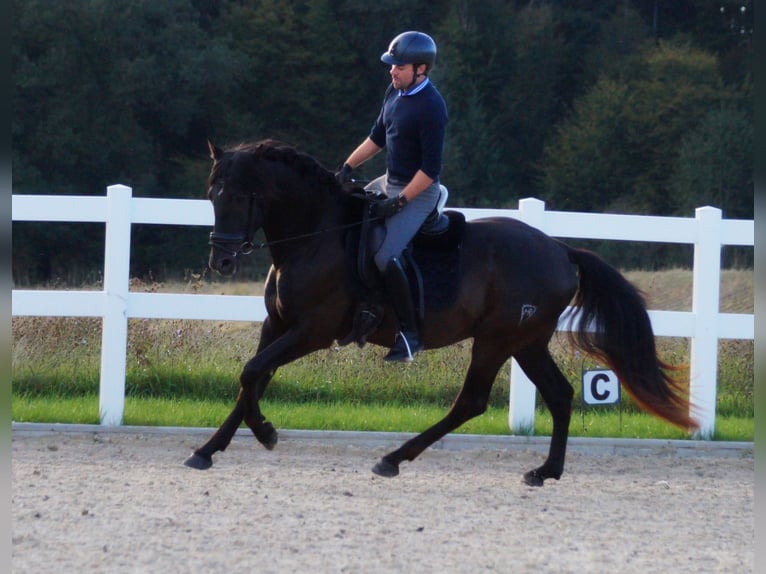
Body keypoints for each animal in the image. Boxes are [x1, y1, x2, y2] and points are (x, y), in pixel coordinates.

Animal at [186, 140, 704, 486]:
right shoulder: (277, 325)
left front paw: (266, 433)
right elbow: (251, 379)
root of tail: (559, 249)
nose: (221, 261)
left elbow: (252, 372)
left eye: (237, 197)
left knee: (471, 401)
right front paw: (209, 450)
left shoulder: (312, 330)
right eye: (211, 195)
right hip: (527, 342)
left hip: (496, 339)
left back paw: (394, 458)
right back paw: (544, 471)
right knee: (558, 394)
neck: (316, 236)